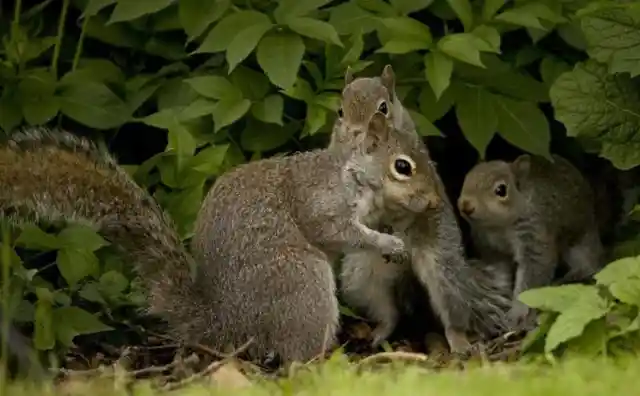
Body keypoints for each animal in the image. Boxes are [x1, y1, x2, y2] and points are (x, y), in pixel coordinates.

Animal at [330, 65, 510, 352]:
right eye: (339, 110)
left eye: (383, 107)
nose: (355, 132)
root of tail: (406, 271)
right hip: (362, 278)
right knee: (388, 312)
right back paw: (380, 333)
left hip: (443, 276)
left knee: (453, 313)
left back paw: (459, 343)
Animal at [458, 154, 604, 328]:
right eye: (467, 178)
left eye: (501, 190)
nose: (466, 205)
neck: (498, 226)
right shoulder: (492, 249)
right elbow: (500, 272)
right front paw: (500, 294)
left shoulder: (533, 235)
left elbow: (530, 279)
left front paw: (517, 312)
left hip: (579, 236)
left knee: (589, 256)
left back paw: (579, 272)